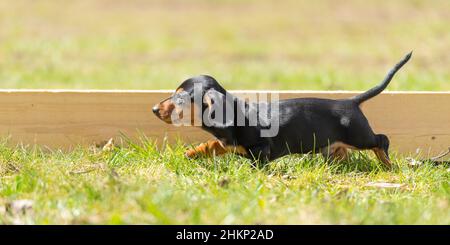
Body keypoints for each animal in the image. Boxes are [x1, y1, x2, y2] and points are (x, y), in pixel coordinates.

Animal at [153, 51, 414, 167]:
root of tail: (350, 101)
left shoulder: (261, 148)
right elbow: (212, 144)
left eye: (180, 98)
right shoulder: (225, 142)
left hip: (359, 136)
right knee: (342, 152)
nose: (154, 109)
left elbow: (255, 162)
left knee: (381, 140)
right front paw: (192, 153)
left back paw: (387, 164)